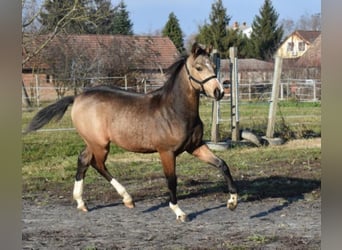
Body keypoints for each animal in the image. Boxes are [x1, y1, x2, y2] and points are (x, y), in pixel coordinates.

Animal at [25, 43, 238, 223]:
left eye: (213, 66)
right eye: (199, 68)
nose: (219, 92)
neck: (175, 110)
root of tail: (77, 98)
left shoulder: (195, 147)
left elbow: (222, 164)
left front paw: (233, 201)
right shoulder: (166, 152)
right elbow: (171, 180)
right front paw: (179, 212)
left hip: (92, 143)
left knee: (83, 160)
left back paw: (82, 203)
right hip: (100, 145)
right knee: (98, 164)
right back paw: (127, 198)